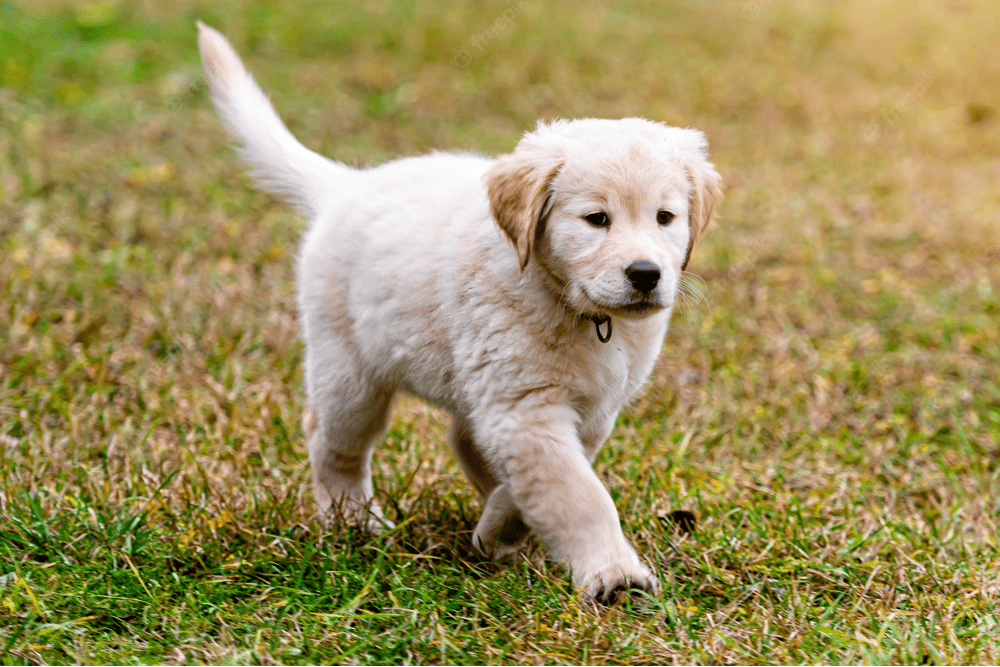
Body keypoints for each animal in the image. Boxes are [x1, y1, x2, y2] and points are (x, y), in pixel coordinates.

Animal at [199, 23, 724, 604]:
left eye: (665, 217)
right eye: (596, 219)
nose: (646, 274)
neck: (570, 304)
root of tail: (348, 186)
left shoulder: (581, 409)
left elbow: (544, 480)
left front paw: (497, 528)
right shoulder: (526, 409)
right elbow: (576, 492)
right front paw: (613, 574)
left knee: (462, 437)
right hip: (349, 371)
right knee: (332, 443)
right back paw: (352, 521)